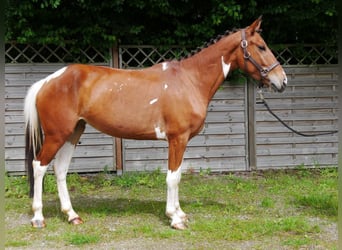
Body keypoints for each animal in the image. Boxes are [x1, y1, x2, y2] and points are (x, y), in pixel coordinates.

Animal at [23, 16, 286, 229]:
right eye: (261, 46)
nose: (281, 80)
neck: (189, 80)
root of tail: (48, 80)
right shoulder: (177, 139)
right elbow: (173, 177)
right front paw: (175, 218)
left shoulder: (180, 141)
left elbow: (177, 175)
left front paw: (179, 213)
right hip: (57, 135)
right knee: (39, 166)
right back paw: (38, 218)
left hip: (73, 133)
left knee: (60, 169)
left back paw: (72, 215)